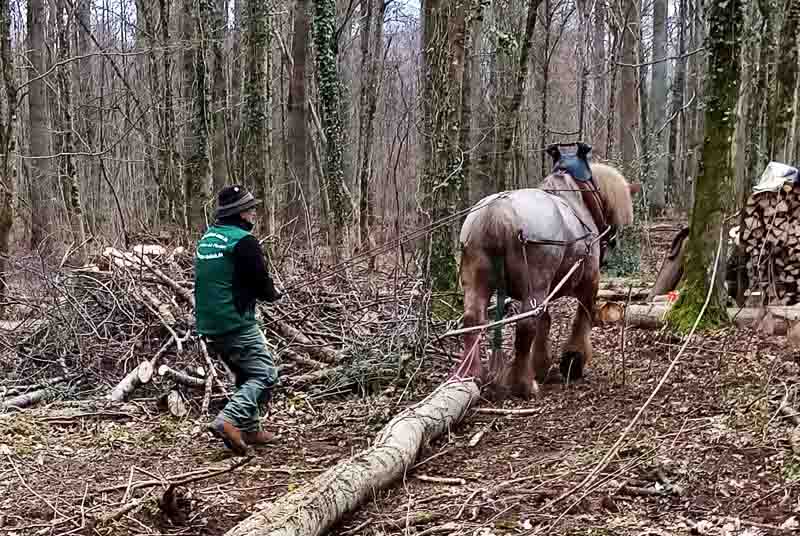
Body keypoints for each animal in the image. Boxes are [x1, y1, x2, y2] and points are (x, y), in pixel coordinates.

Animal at [454, 142, 640, 398]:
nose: (613, 242)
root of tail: (497, 215)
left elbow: (546, 321)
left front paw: (542, 364)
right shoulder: (589, 281)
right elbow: (582, 317)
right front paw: (573, 360)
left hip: (477, 278)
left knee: (473, 319)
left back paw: (472, 374)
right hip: (535, 284)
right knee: (525, 326)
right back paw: (523, 384)